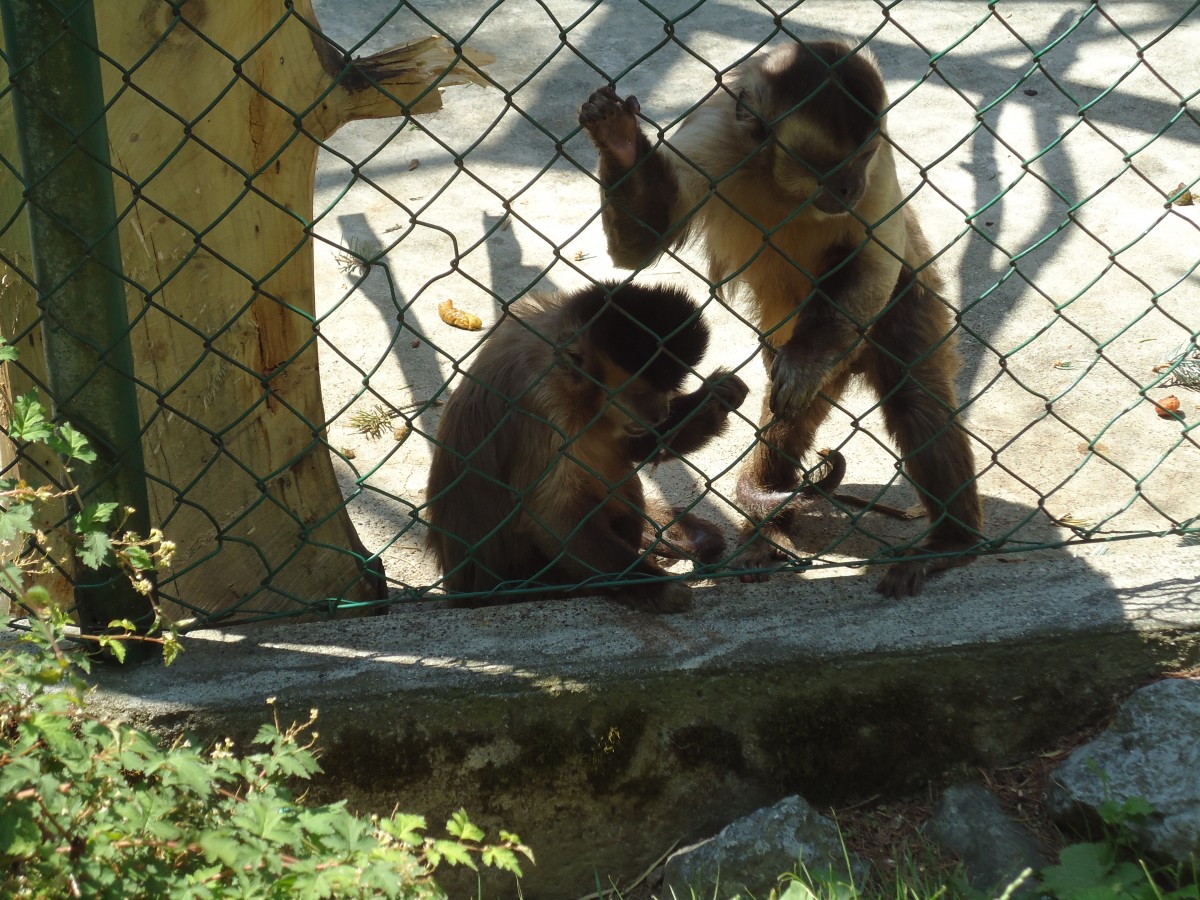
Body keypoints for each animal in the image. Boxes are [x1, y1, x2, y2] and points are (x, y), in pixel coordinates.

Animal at [424, 281, 750, 613]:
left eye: (668, 388)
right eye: (641, 393)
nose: (660, 413)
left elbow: (631, 449)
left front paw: (715, 400)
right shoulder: (540, 400)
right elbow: (553, 516)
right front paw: (653, 586)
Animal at [579, 38, 984, 597]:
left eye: (860, 159)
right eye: (830, 168)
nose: (850, 188)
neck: (783, 184)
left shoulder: (882, 164)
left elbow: (875, 258)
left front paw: (805, 364)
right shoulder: (713, 137)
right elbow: (640, 247)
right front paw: (619, 141)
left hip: (894, 308)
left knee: (909, 391)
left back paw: (951, 542)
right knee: (784, 417)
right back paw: (766, 528)